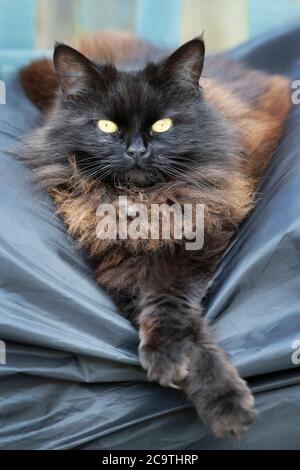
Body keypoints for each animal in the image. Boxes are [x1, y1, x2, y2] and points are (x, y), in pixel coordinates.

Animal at [18, 32, 290, 436]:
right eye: (106, 127)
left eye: (162, 126)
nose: (136, 151)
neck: (144, 204)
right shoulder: (120, 269)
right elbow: (182, 327)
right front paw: (218, 396)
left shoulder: (191, 253)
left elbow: (171, 307)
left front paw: (214, 394)